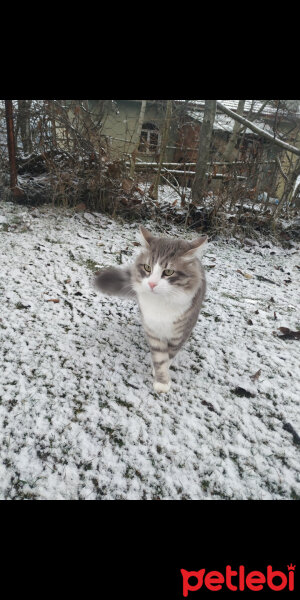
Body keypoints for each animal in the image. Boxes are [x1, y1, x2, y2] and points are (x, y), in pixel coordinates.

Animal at [95, 226, 207, 394]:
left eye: (168, 272)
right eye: (147, 268)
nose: (152, 284)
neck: (160, 305)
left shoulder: (180, 333)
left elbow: (169, 355)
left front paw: (162, 374)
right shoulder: (152, 330)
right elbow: (160, 357)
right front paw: (161, 379)